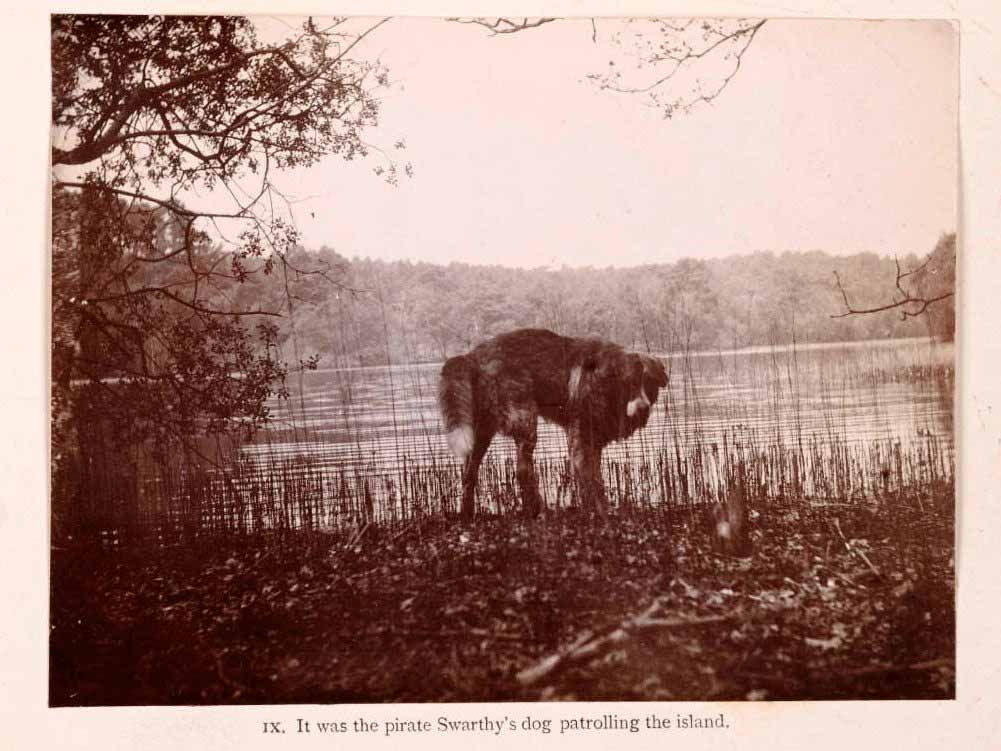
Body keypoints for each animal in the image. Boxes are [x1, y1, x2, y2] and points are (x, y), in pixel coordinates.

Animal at [436, 328, 664, 516]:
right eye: (629, 382)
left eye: (649, 383)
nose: (643, 408)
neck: (604, 381)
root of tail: (472, 356)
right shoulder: (580, 438)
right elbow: (592, 479)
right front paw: (603, 510)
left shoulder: (593, 438)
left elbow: (593, 477)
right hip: (525, 421)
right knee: (523, 470)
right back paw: (540, 510)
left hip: (482, 432)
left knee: (469, 472)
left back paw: (468, 513)